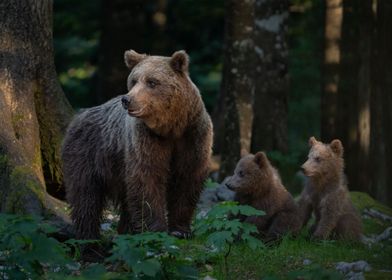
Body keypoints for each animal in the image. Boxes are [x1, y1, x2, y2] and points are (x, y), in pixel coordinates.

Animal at [61, 49, 213, 238]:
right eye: (134, 80)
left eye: (152, 82)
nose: (127, 99)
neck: (171, 128)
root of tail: (78, 115)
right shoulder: (146, 140)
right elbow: (146, 180)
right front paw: (156, 229)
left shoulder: (193, 137)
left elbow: (187, 180)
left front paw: (180, 230)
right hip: (87, 154)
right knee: (86, 196)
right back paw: (89, 236)